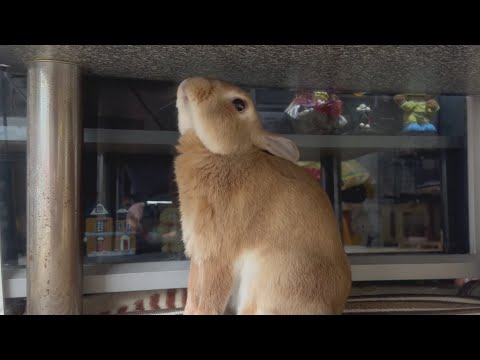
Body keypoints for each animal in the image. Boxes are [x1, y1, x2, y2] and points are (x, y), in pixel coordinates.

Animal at [174, 77, 350, 314]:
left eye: (239, 105)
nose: (188, 82)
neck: (229, 154)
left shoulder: (217, 255)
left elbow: (207, 298)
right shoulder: (200, 257)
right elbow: (193, 292)